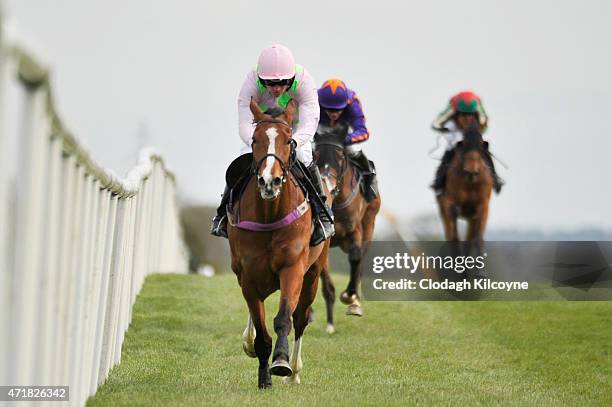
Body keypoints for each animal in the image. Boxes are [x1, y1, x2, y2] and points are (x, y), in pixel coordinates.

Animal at [226, 99, 330, 388]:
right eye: (255, 139)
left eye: (288, 140)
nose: (269, 181)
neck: (269, 216)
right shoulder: (248, 275)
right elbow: (261, 330)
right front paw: (263, 377)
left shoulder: (292, 267)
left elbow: (284, 318)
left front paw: (282, 363)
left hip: (313, 273)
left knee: (301, 317)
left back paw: (294, 371)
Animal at [314, 127, 380, 334]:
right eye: (315, 153)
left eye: (340, 155)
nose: (327, 181)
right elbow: (325, 280)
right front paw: (329, 324)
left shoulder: (354, 232)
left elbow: (356, 258)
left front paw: (349, 297)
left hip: (369, 224)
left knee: (359, 263)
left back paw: (355, 302)